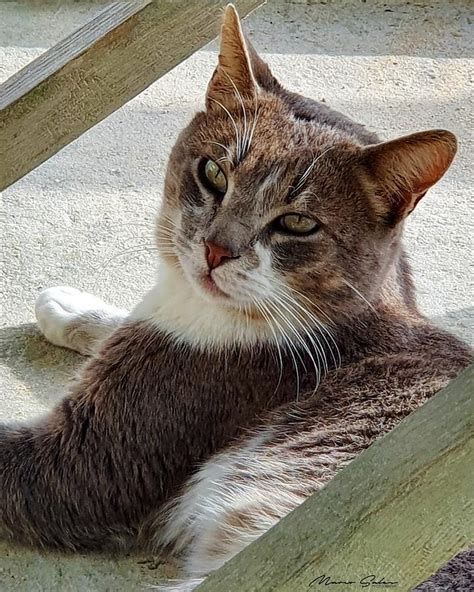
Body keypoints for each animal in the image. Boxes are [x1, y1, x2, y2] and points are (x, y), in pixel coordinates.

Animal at [1, 4, 472, 592]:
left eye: (298, 223)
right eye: (214, 173)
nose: (215, 249)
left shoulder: (96, 456)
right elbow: (127, 319)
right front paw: (67, 305)